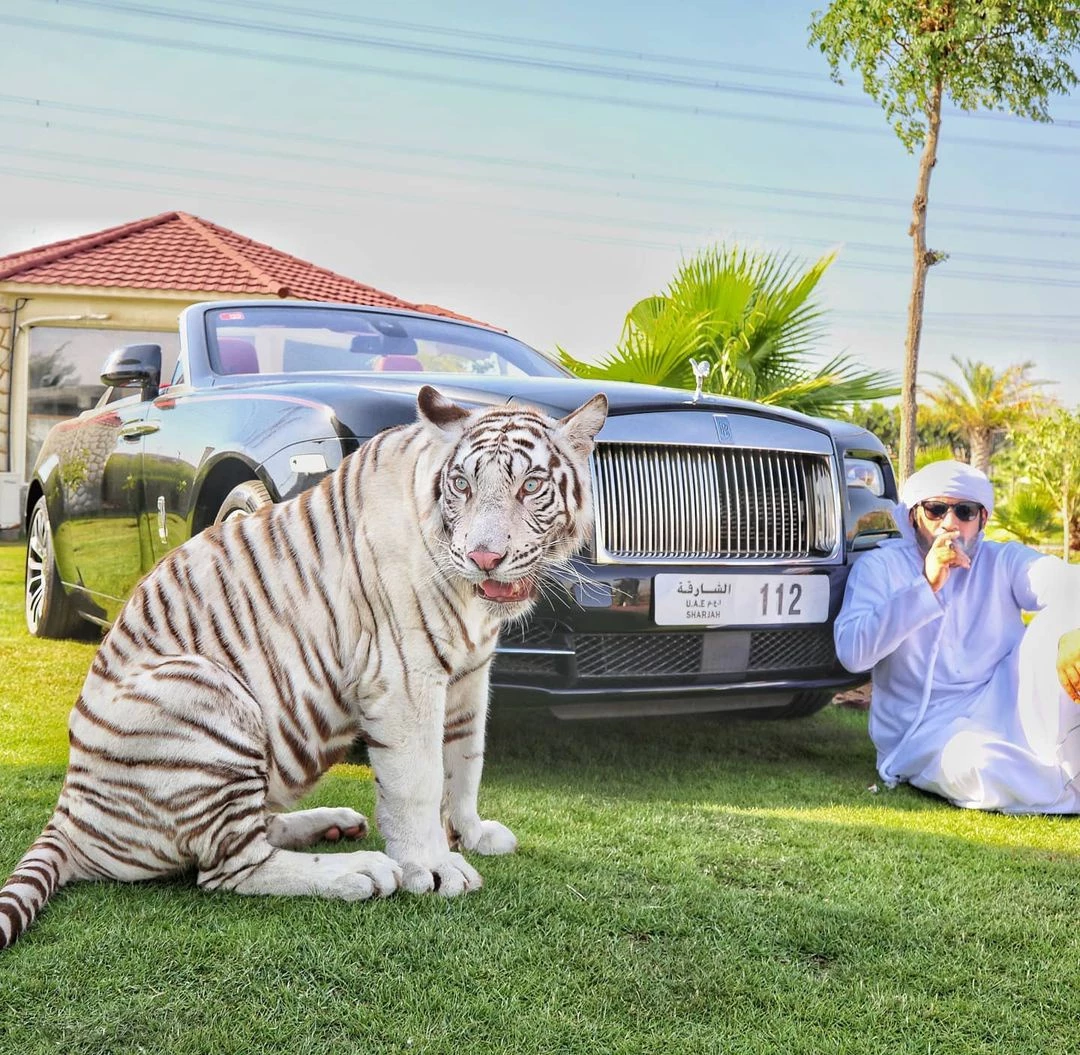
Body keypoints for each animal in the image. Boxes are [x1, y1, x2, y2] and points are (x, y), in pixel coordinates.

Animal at [0, 382, 609, 950]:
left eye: (531, 486)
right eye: (462, 485)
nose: (484, 557)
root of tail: (70, 809)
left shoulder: (469, 678)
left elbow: (465, 763)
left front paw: (472, 834)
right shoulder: (406, 678)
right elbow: (419, 779)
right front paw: (434, 867)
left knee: (258, 830)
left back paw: (334, 824)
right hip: (211, 698)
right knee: (230, 868)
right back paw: (362, 870)